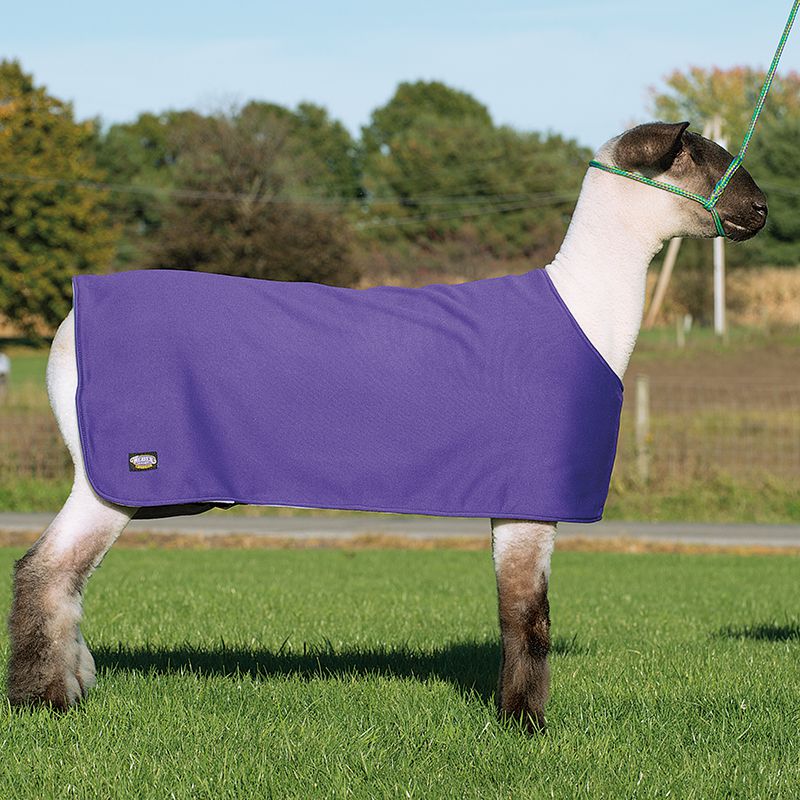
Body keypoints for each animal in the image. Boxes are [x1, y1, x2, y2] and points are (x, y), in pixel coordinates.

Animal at [7, 122, 767, 731]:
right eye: (704, 160)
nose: (761, 209)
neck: (585, 307)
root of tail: (68, 324)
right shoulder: (530, 492)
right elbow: (529, 616)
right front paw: (525, 727)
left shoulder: (516, 497)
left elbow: (518, 614)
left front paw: (513, 718)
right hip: (123, 471)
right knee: (46, 569)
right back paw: (40, 704)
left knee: (60, 576)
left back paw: (68, 690)